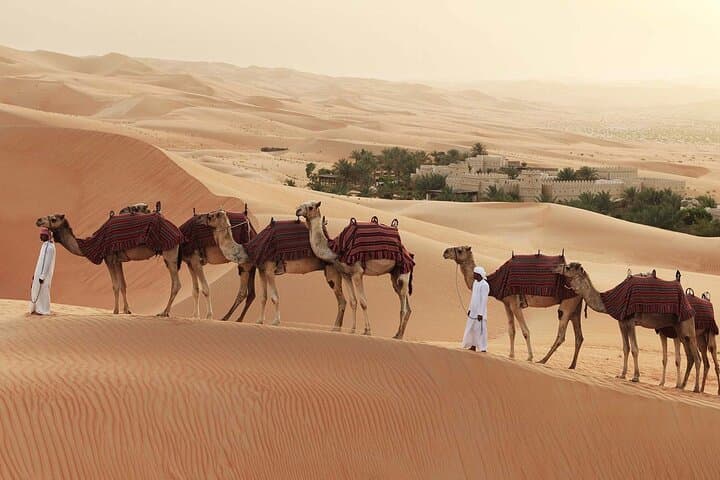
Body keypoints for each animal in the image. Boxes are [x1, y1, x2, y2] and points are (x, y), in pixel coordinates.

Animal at [36, 213, 181, 316]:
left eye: (53, 219)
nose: (38, 220)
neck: (91, 244)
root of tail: (177, 231)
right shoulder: (118, 260)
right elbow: (123, 285)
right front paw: (126, 310)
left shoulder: (109, 258)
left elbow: (115, 285)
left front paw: (115, 311)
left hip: (169, 253)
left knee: (176, 284)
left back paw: (164, 312)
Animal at [198, 209, 346, 327]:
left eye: (212, 215)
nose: (199, 217)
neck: (250, 248)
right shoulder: (262, 270)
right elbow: (263, 297)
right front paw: (259, 321)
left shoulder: (269, 269)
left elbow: (275, 297)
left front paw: (275, 322)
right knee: (341, 301)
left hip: (331, 270)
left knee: (342, 301)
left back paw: (336, 328)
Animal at [295, 201, 413, 340]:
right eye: (302, 204)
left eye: (310, 207)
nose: (297, 210)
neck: (336, 249)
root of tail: (408, 252)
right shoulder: (346, 274)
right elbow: (353, 301)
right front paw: (352, 330)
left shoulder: (357, 273)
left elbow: (363, 302)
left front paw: (367, 331)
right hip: (395, 273)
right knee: (404, 301)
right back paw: (398, 334)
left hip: (404, 270)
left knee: (403, 301)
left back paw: (399, 335)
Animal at [443, 246, 584, 368]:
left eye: (460, 250)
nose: (445, 252)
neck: (495, 281)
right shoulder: (507, 304)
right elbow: (511, 330)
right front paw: (511, 355)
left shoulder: (515, 303)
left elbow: (525, 331)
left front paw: (529, 357)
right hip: (575, 307)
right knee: (579, 337)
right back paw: (572, 366)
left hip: (567, 304)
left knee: (561, 334)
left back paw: (542, 360)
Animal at [556, 262, 702, 392]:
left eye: (568, 267)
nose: (557, 267)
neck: (609, 301)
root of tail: (688, 302)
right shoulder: (622, 322)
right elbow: (626, 348)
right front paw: (622, 374)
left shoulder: (631, 321)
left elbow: (635, 349)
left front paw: (636, 377)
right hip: (678, 329)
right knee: (690, 357)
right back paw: (681, 386)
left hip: (687, 325)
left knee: (697, 357)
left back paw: (696, 388)